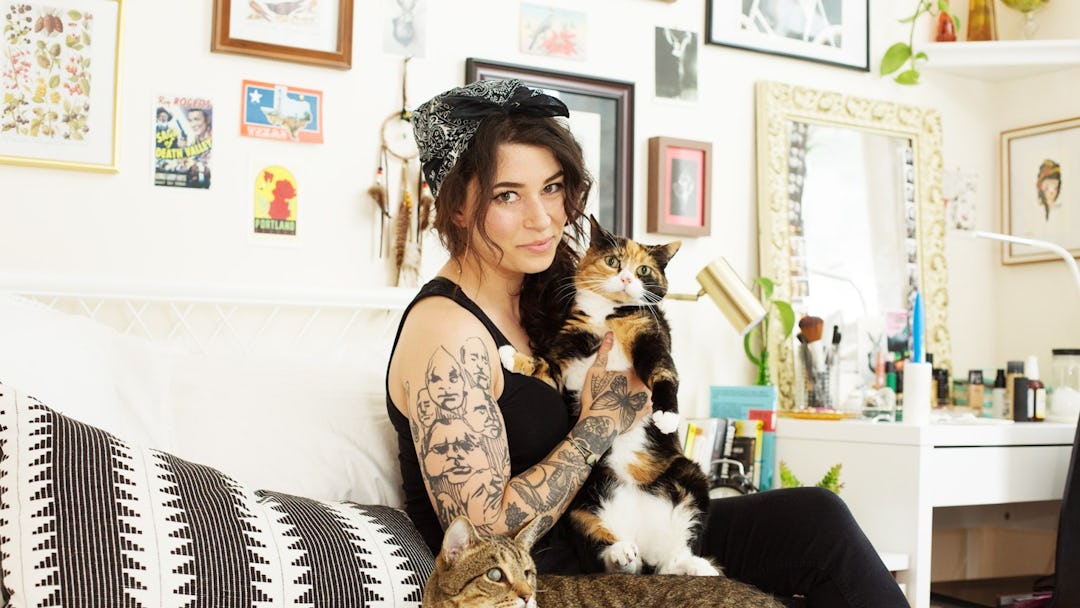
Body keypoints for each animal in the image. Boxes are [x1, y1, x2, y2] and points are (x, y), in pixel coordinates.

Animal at [499, 215, 715, 576]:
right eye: (613, 261)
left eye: (644, 270)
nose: (627, 277)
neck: (607, 316)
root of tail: (643, 538)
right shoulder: (566, 356)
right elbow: (543, 365)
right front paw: (508, 356)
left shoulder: (652, 338)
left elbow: (664, 373)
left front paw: (666, 415)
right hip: (579, 502)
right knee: (605, 550)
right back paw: (621, 553)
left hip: (691, 476)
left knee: (676, 554)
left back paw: (698, 566)